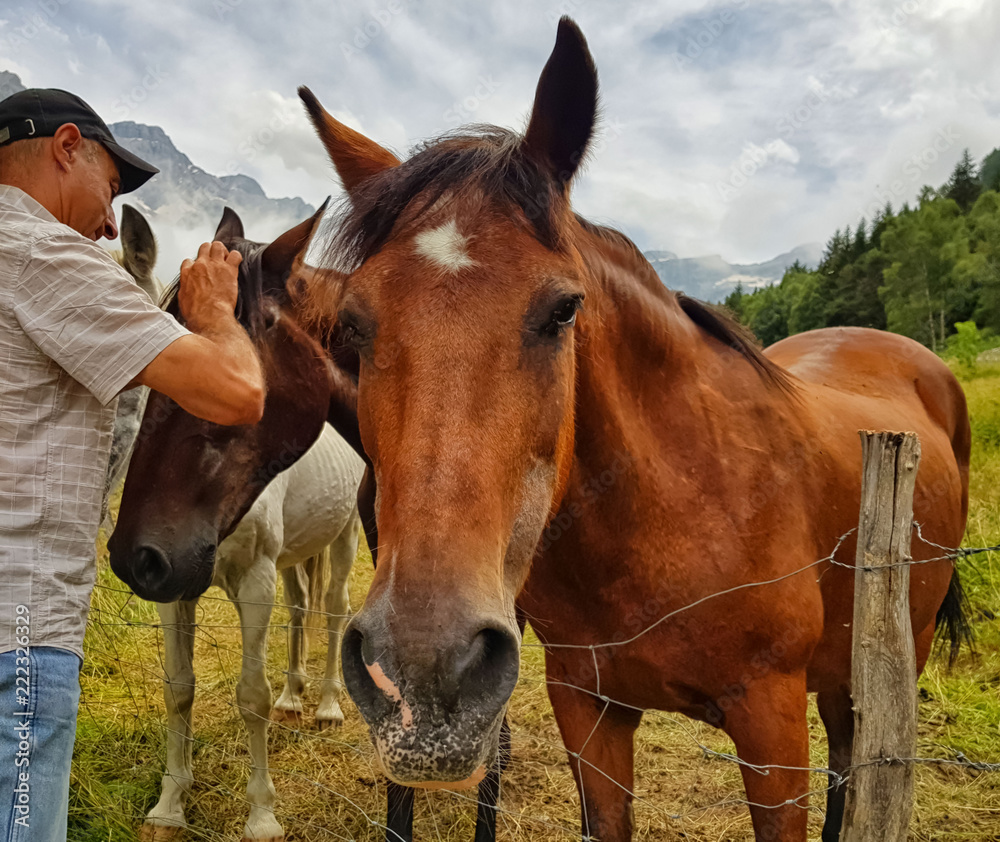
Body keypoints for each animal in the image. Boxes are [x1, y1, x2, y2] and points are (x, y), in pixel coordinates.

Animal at [139, 424, 362, 836]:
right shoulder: (173, 592)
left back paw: (328, 707)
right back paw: (291, 699)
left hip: (346, 531)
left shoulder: (256, 580)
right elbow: (178, 690)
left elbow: (253, 697)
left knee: (336, 609)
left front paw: (262, 818)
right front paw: (170, 805)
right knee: (299, 603)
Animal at [294, 14, 968, 840]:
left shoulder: (773, 725)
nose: (425, 672)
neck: (678, 501)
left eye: (563, 309)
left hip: (888, 657)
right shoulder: (588, 709)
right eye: (354, 325)